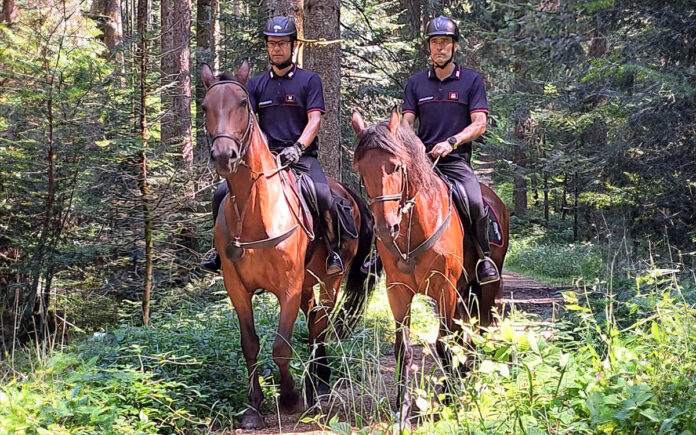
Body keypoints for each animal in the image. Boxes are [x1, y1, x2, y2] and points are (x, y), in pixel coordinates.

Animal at [198, 63, 378, 430]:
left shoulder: (289, 287)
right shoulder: (236, 287)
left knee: (319, 328)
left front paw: (291, 398)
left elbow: (281, 346)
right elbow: (249, 345)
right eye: (206, 106)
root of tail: (349, 195)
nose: (224, 156)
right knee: (314, 321)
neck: (254, 210)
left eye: (242, 104)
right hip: (309, 284)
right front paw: (253, 407)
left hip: (329, 280)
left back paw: (317, 388)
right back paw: (317, 382)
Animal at [350, 108, 508, 426]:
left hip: (485, 288)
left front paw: (448, 403)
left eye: (395, 167)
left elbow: (443, 343)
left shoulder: (444, 288)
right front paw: (402, 408)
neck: (414, 231)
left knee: (481, 331)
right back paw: (462, 378)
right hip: (462, 293)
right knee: (465, 335)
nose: (386, 228)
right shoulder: (398, 291)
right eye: (361, 169)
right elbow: (404, 349)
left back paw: (472, 383)